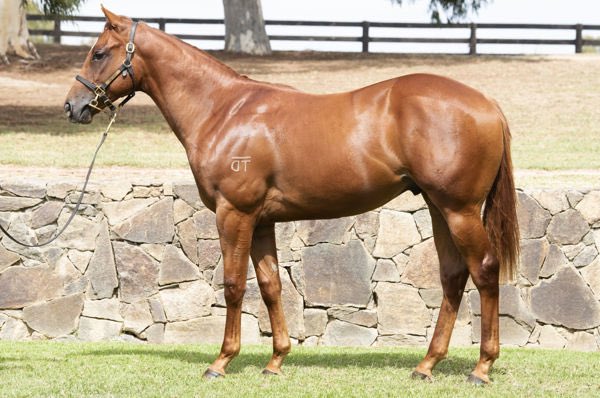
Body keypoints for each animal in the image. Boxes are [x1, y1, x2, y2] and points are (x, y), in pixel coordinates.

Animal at [63, 7, 516, 384]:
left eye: (99, 53)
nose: (73, 106)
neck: (223, 110)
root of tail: (487, 104)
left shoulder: (234, 213)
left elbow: (233, 285)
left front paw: (221, 362)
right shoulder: (261, 221)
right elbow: (271, 285)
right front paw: (276, 360)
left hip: (459, 210)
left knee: (485, 270)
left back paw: (481, 368)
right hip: (439, 208)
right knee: (453, 276)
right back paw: (426, 365)